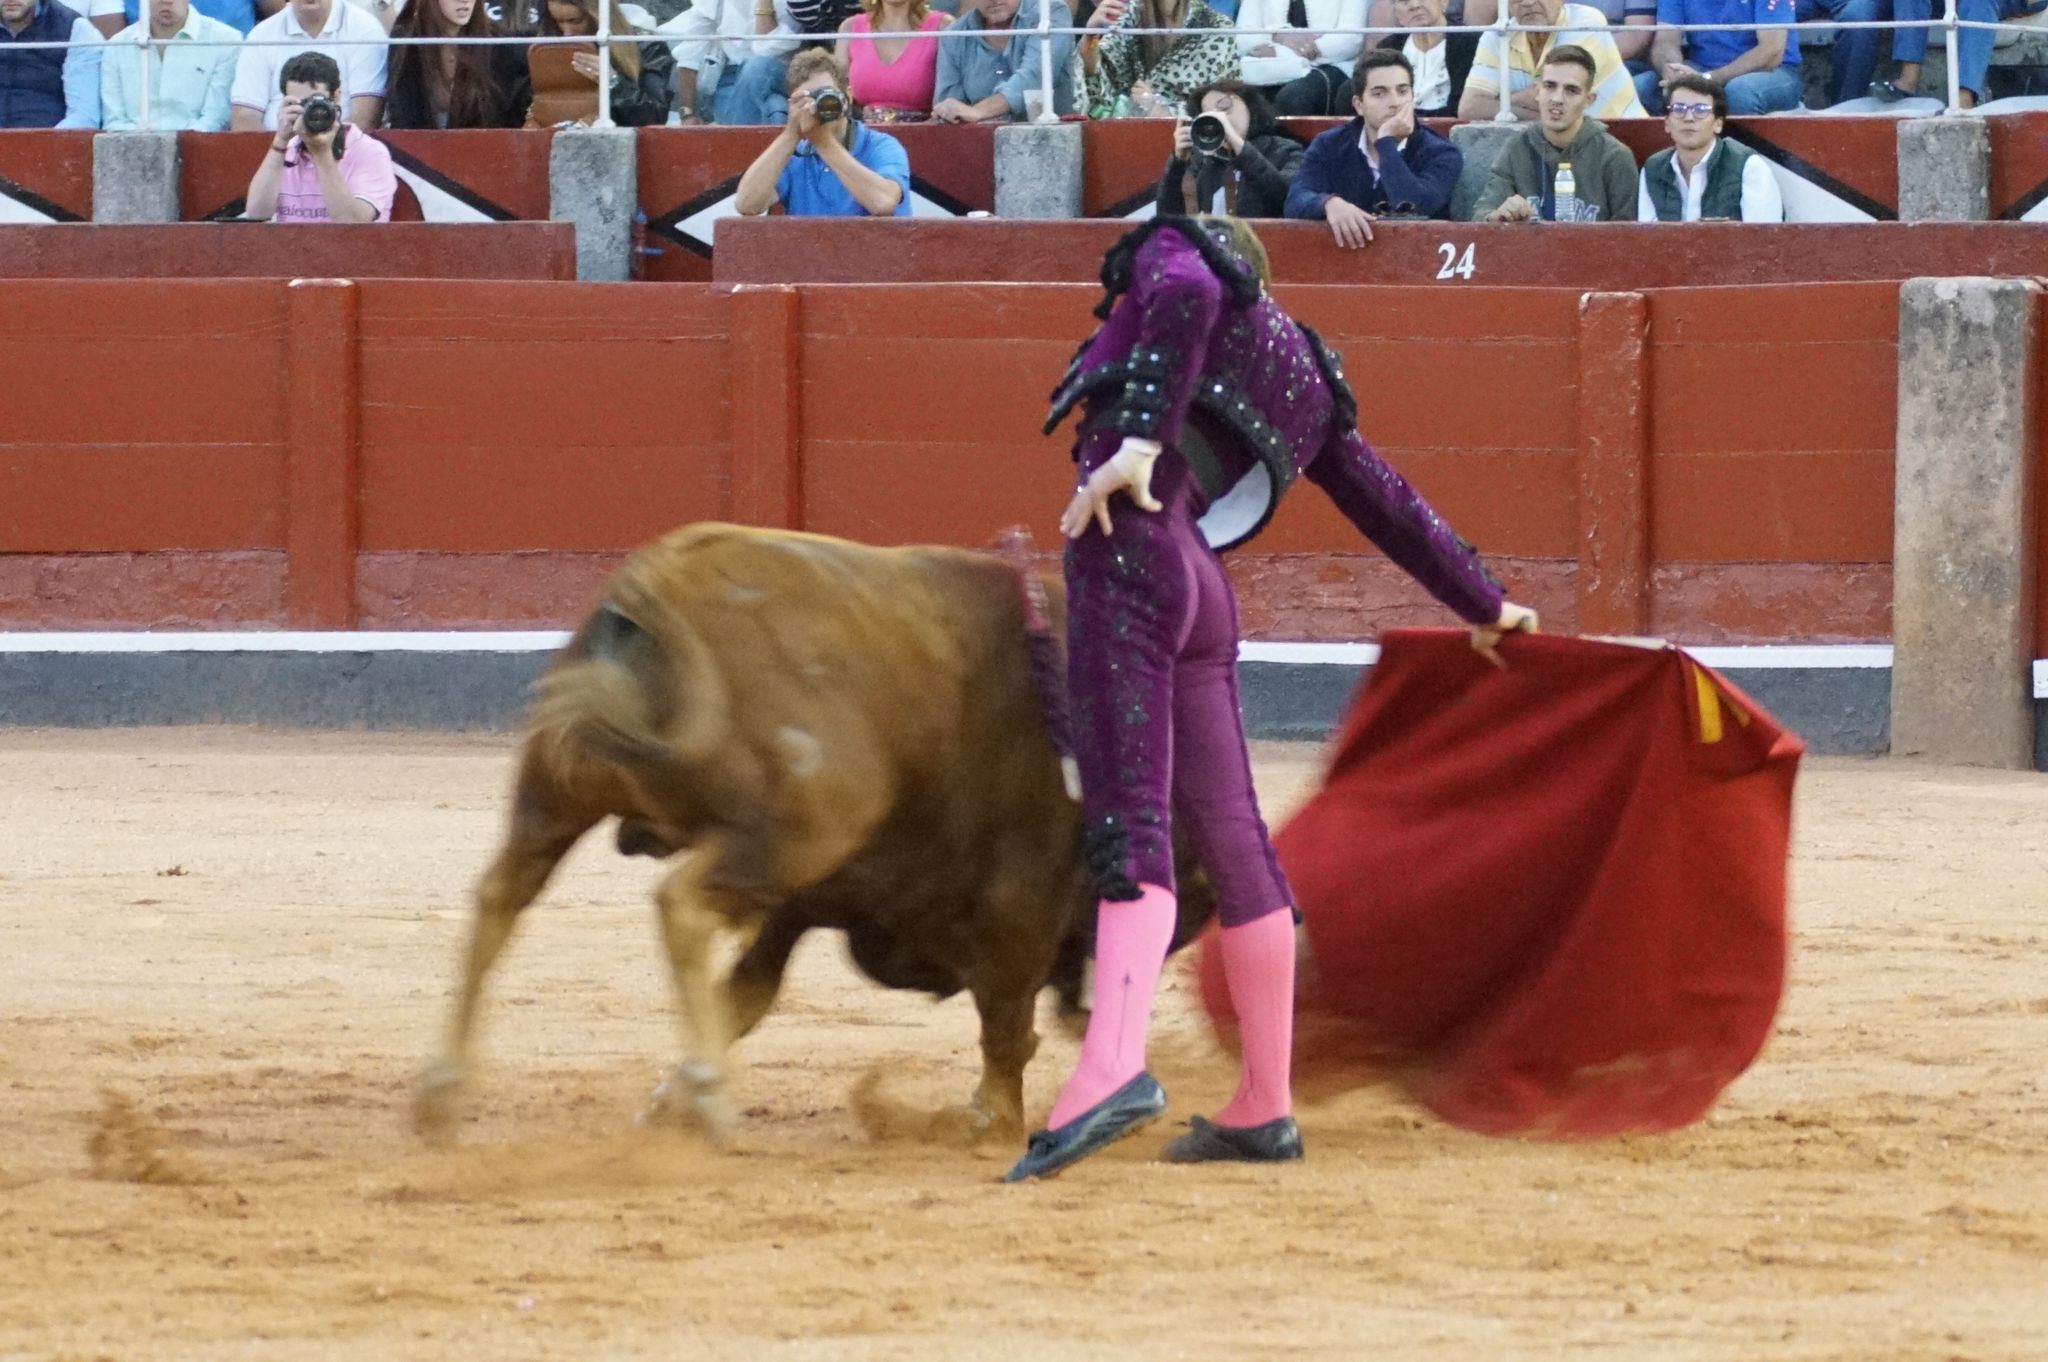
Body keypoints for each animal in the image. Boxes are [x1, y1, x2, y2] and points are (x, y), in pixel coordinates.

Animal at [415, 524, 1212, 1138]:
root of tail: (660, 576)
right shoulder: (1020, 895)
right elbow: (1006, 1015)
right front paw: (994, 1119)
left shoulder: (798, 907)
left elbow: (745, 995)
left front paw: (671, 1099)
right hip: (805, 826)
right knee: (678, 904)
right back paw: (711, 1098)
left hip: (555, 798)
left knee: (501, 895)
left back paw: (443, 1090)